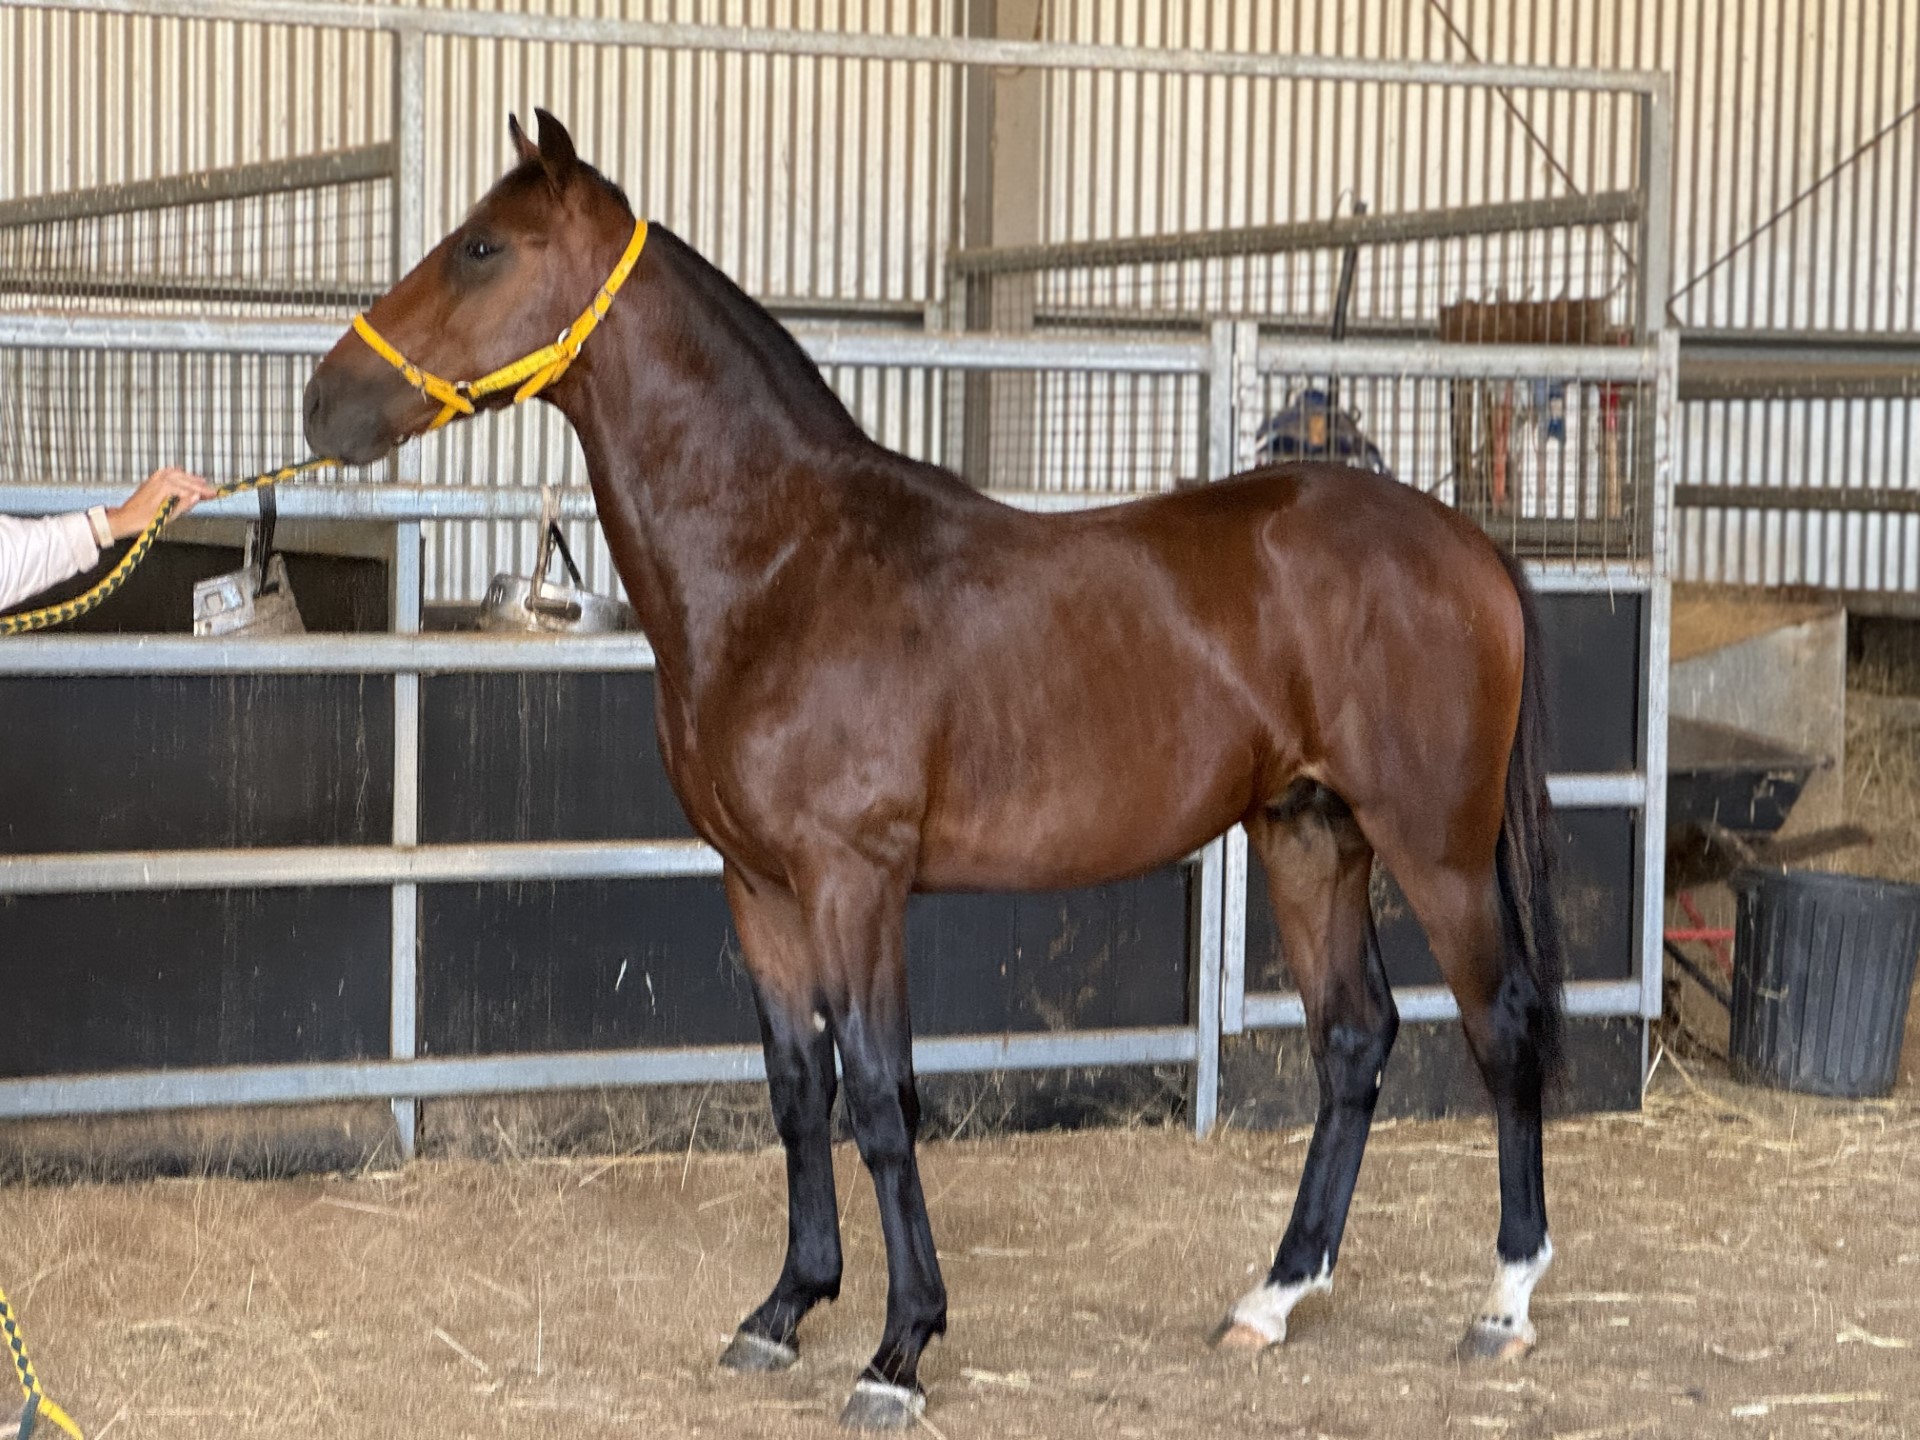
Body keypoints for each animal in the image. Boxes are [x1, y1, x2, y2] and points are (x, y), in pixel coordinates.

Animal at [303, 110, 1567, 1431]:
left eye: (482, 248)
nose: (321, 402)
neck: (784, 565)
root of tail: (1466, 543)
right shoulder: (758, 888)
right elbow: (796, 1088)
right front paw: (784, 1310)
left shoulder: (853, 882)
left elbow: (878, 1096)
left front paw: (899, 1350)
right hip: (1310, 834)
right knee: (1353, 1042)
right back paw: (1271, 1299)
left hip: (1434, 847)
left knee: (1502, 1027)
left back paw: (1503, 1304)